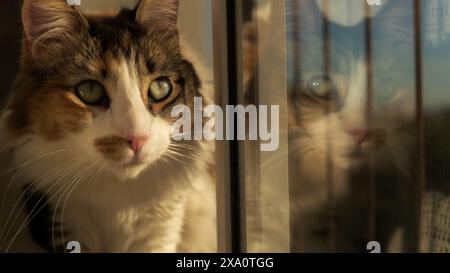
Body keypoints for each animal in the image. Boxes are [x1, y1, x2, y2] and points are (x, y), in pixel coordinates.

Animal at [0, 0, 216, 253]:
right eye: (89, 91)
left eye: (161, 87)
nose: (137, 139)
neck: (121, 199)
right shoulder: (60, 220)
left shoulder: (160, 229)